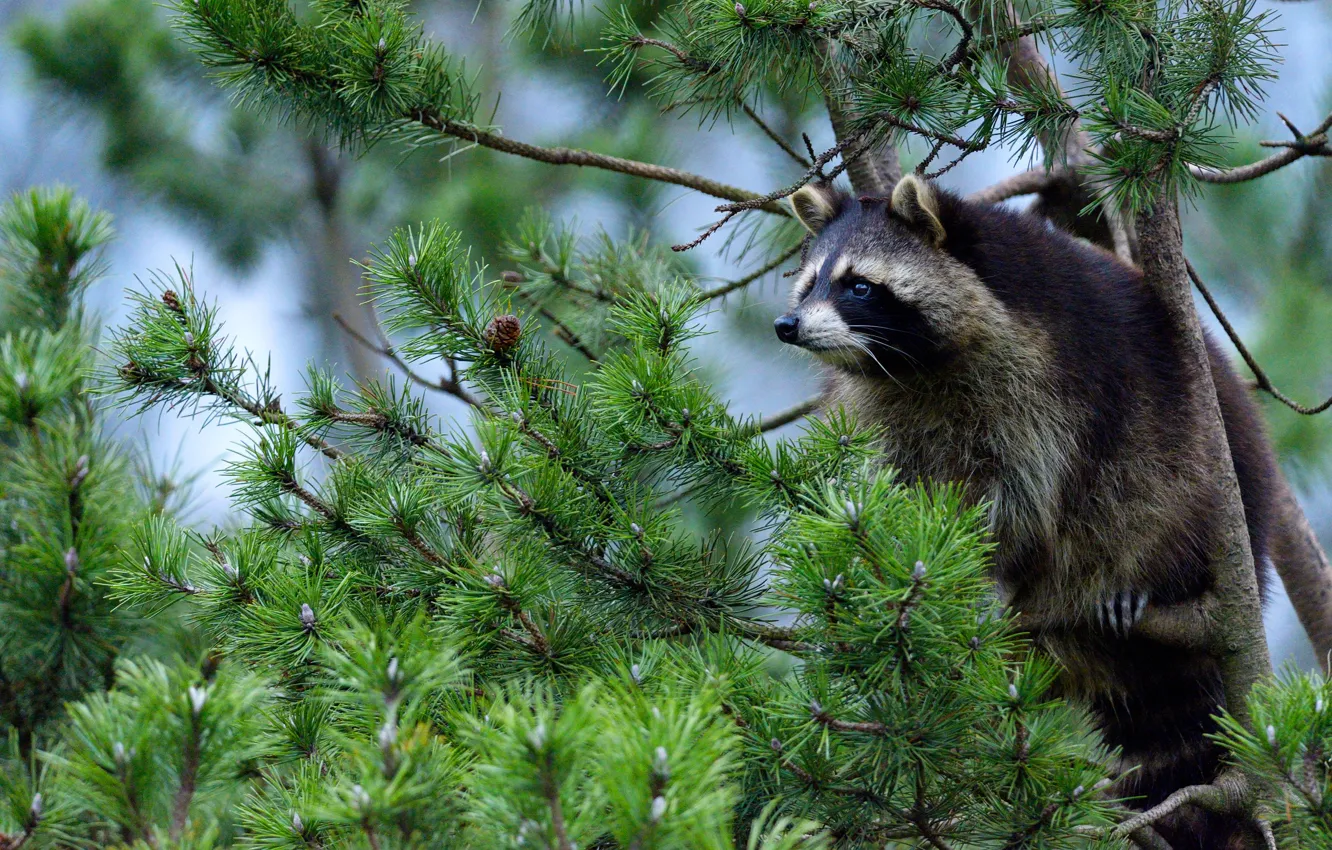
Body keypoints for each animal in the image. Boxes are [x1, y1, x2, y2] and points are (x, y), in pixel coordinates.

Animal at [777, 174, 1278, 848]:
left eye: (858, 285)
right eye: (808, 284)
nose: (786, 324)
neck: (916, 365)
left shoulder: (1046, 376)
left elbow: (1030, 491)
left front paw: (991, 569)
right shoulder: (887, 410)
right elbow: (906, 488)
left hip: (1212, 471)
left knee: (1147, 491)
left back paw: (1138, 577)